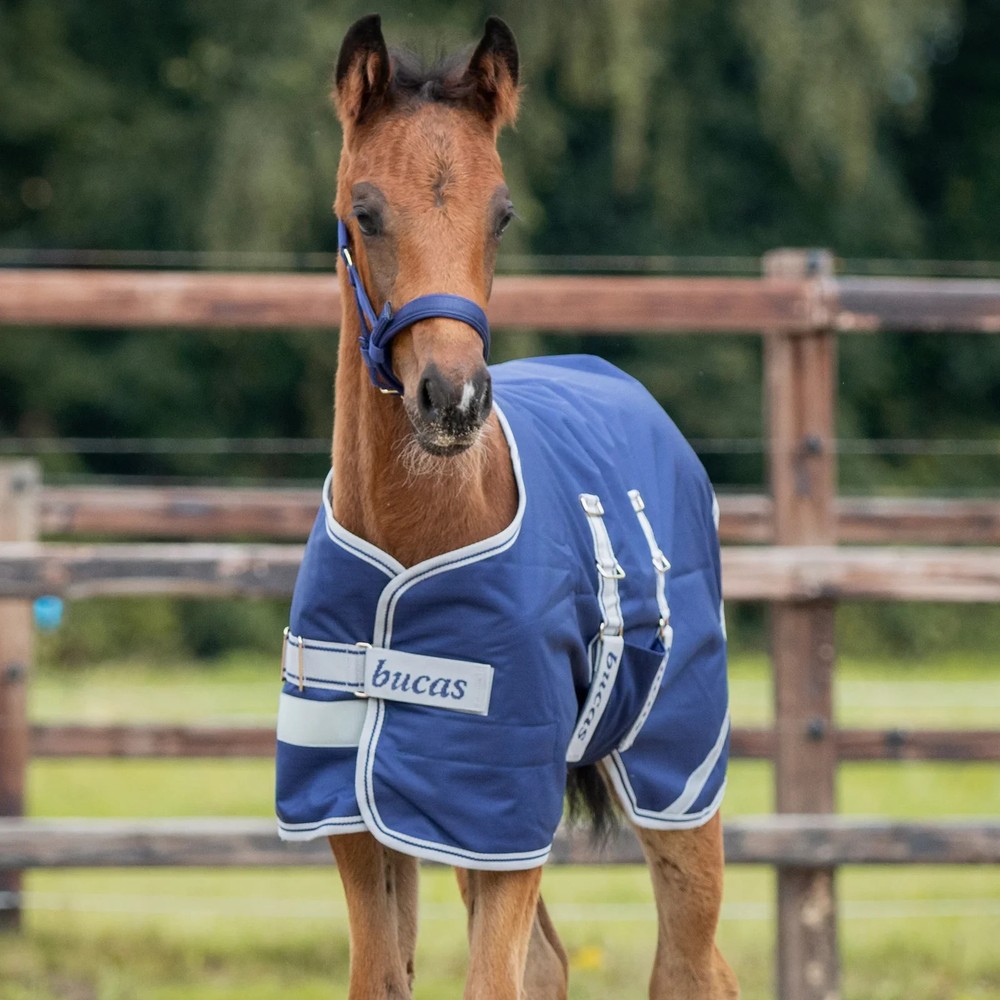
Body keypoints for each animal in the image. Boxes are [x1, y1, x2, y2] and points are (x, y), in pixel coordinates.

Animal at [274, 14, 739, 999]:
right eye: (365, 210)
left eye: (502, 214)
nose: (451, 399)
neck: (413, 546)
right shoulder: (374, 814)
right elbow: (388, 976)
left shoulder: (506, 813)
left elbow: (493, 979)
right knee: (554, 964)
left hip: (680, 774)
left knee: (692, 965)